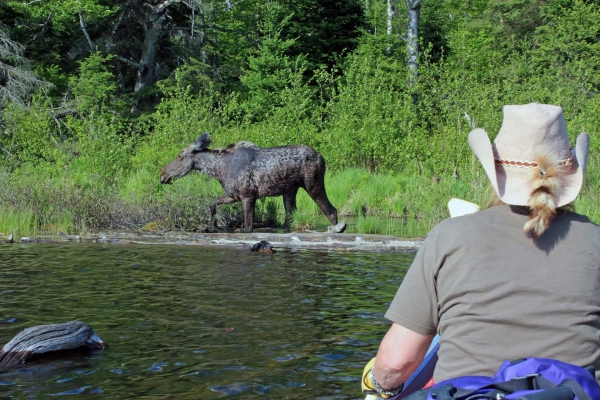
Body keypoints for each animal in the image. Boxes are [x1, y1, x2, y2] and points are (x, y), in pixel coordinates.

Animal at [159, 133, 346, 233]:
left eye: (180, 156)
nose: (162, 175)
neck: (219, 170)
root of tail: (323, 159)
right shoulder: (233, 195)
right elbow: (212, 203)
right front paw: (214, 225)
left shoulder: (248, 195)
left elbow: (247, 227)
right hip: (289, 191)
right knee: (290, 216)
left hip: (312, 184)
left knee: (331, 210)